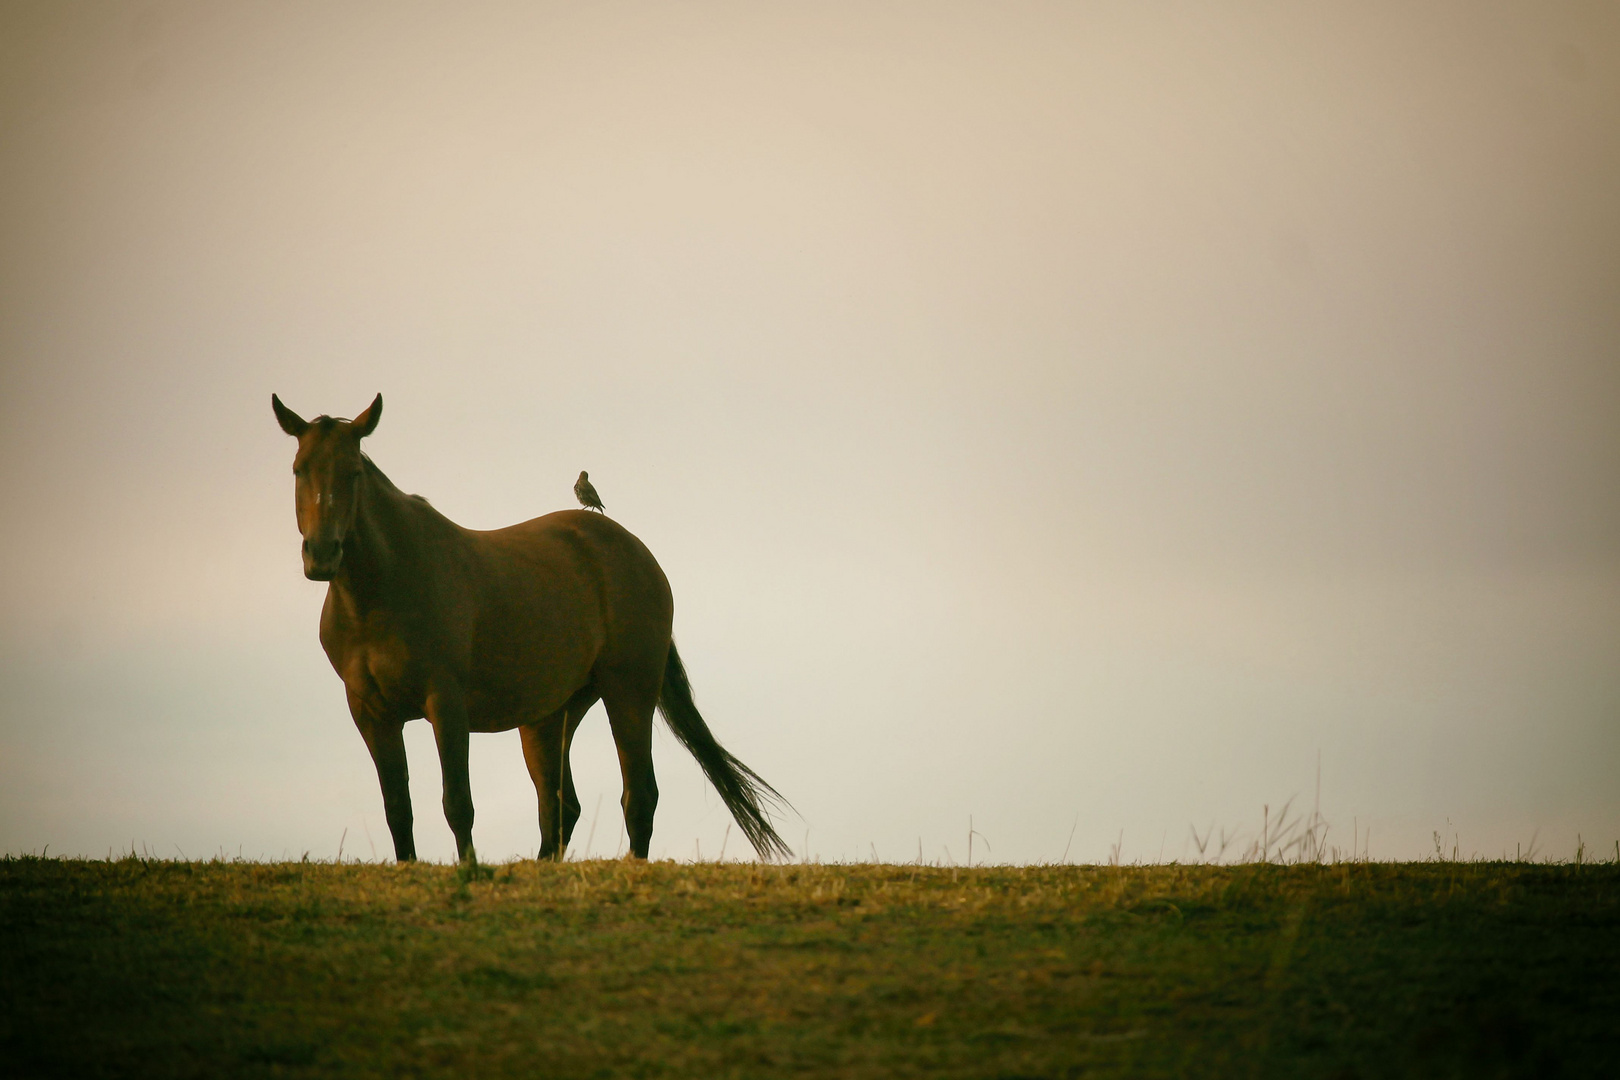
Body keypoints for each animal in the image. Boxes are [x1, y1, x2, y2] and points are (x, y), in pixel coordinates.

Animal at [272, 393, 790, 867]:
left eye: (353, 473)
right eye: (299, 469)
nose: (321, 554)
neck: (385, 591)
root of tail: (639, 554)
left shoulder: (446, 702)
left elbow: (457, 803)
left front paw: (469, 871)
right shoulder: (369, 712)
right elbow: (398, 808)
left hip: (629, 691)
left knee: (638, 795)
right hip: (551, 716)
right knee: (560, 806)